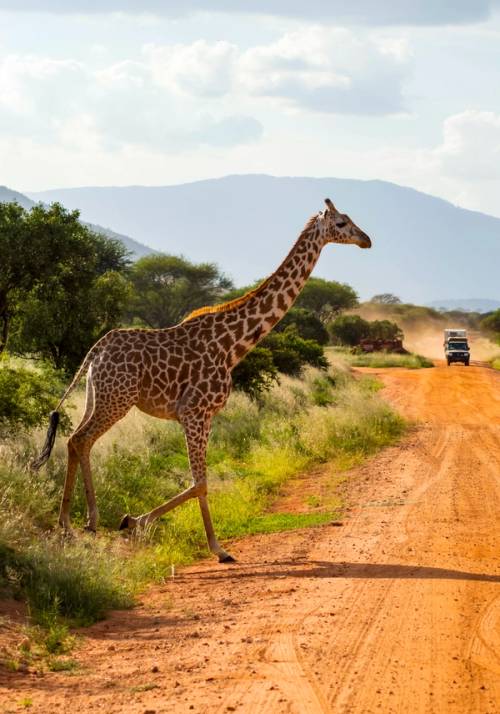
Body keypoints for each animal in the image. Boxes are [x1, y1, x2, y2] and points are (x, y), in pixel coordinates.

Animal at [32, 198, 371, 562]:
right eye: (341, 223)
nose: (366, 240)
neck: (233, 345)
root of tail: (96, 351)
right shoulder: (195, 412)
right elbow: (201, 482)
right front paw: (216, 548)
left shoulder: (199, 416)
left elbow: (197, 482)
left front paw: (133, 520)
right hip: (116, 400)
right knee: (80, 439)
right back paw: (74, 523)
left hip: (96, 396)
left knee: (76, 440)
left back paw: (81, 521)